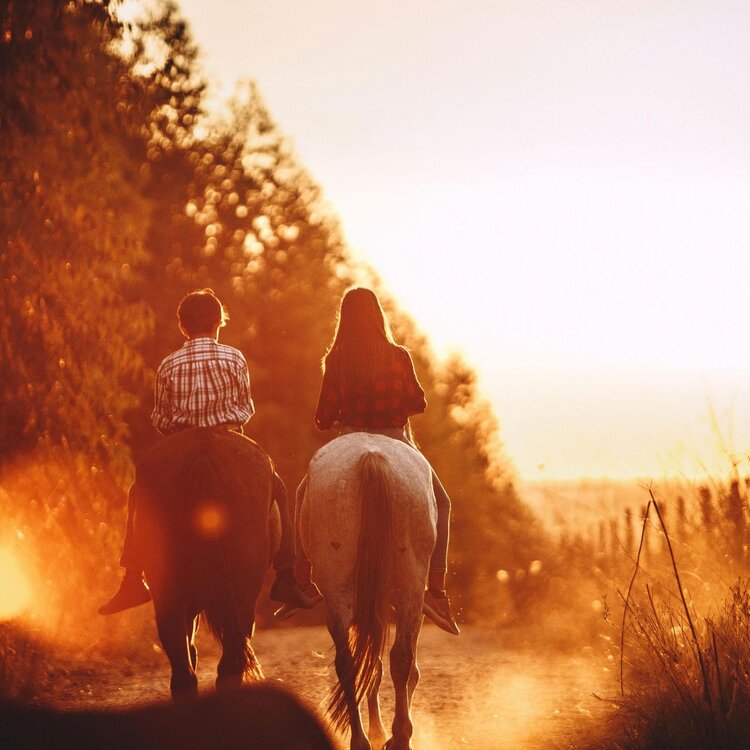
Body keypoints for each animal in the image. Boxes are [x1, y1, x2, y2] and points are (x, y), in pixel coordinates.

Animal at [299, 432, 436, 750]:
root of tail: (370, 458)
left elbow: (372, 663)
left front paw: (378, 730)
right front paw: (382, 731)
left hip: (342, 593)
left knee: (352, 663)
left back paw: (363, 739)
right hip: (409, 588)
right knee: (398, 659)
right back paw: (395, 737)